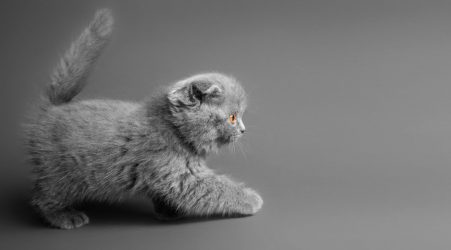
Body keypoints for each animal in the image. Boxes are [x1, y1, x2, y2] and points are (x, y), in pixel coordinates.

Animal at [24, 9, 264, 229]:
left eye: (240, 117)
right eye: (232, 118)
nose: (244, 129)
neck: (172, 130)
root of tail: (52, 109)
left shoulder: (165, 174)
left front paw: (168, 212)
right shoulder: (177, 172)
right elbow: (215, 188)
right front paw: (252, 199)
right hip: (61, 173)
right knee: (42, 198)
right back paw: (65, 217)